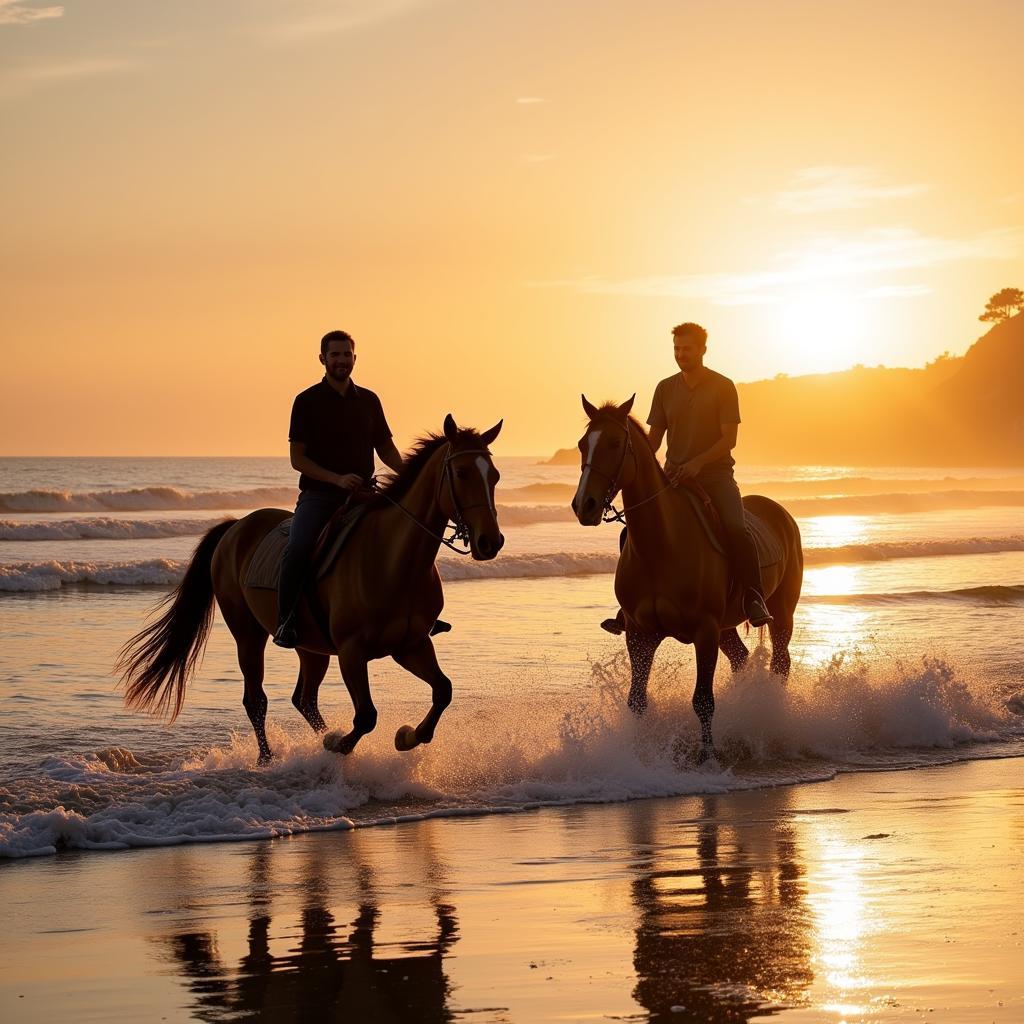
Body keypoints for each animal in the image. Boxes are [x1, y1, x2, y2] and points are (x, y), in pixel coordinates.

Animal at [118, 413, 503, 761]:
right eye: (462, 473)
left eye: (495, 476)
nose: (491, 542)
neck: (392, 562)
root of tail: (235, 527)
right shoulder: (351, 651)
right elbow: (366, 716)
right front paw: (337, 745)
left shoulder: (412, 645)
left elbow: (443, 691)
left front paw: (406, 736)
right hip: (247, 633)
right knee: (256, 699)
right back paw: (268, 759)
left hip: (311, 645)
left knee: (304, 699)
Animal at [569, 395, 798, 765]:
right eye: (582, 445)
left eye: (615, 443)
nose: (584, 506)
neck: (662, 546)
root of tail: (782, 514)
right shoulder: (639, 634)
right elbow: (637, 701)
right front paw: (638, 754)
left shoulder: (704, 630)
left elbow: (703, 700)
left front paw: (708, 758)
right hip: (726, 627)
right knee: (741, 659)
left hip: (781, 613)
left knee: (780, 664)